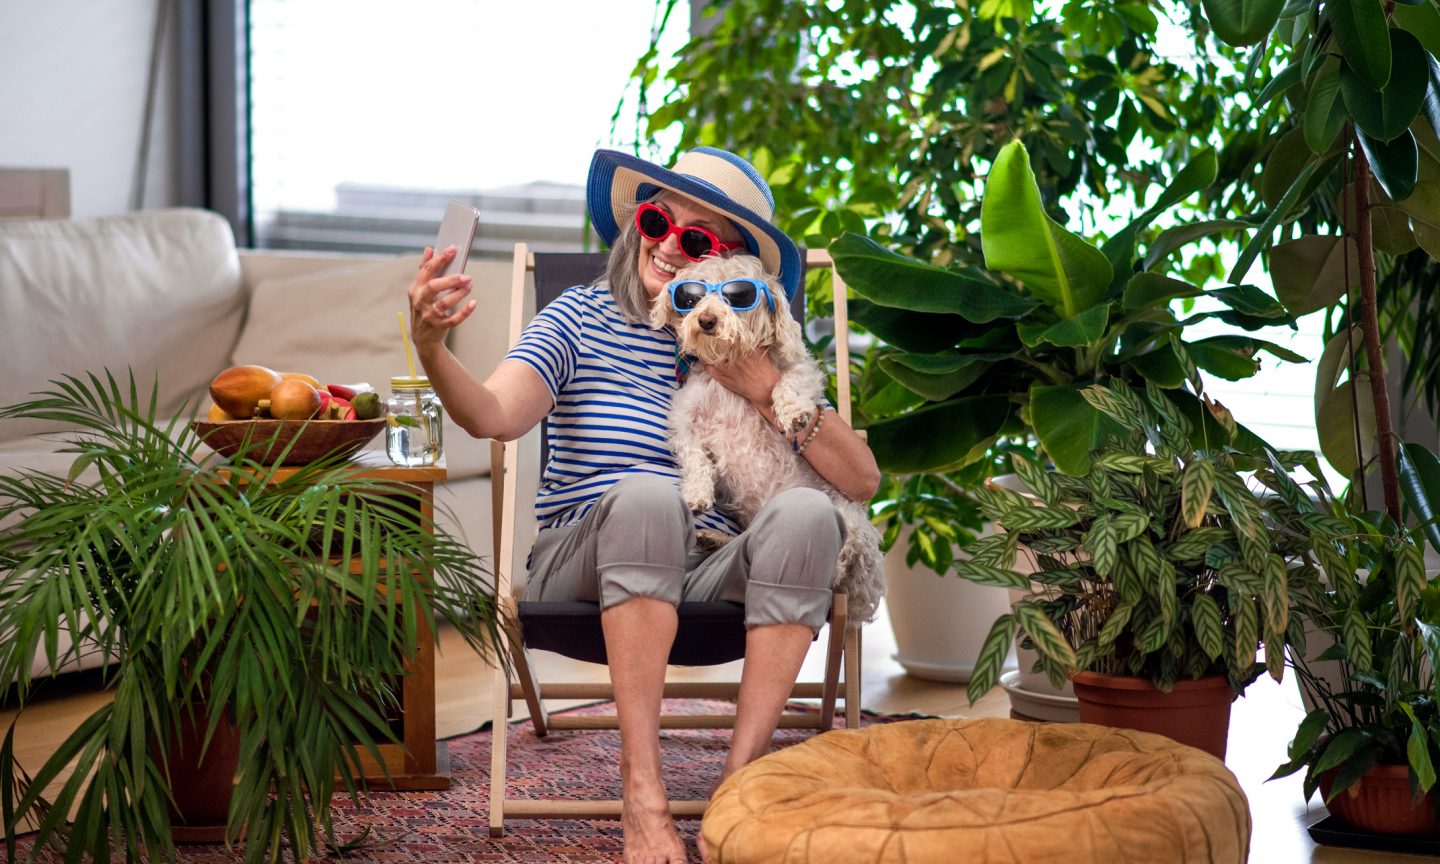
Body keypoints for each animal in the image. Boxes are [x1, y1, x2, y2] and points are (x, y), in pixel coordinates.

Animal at [650, 253, 884, 623]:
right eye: (693, 296)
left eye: (737, 295)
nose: (706, 319)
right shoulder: (685, 419)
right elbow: (695, 458)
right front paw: (698, 493)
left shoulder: (800, 371)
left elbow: (789, 383)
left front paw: (794, 415)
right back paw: (714, 539)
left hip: (847, 519)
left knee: (839, 561)